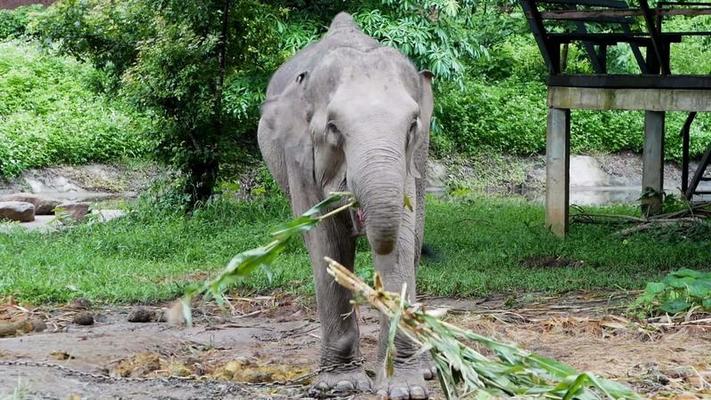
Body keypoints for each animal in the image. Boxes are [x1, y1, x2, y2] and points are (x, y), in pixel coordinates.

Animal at [258, 10, 434, 398]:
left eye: (412, 125)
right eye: (334, 128)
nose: (359, 216)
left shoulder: (411, 159)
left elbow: (402, 239)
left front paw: (404, 388)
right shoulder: (299, 158)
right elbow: (327, 240)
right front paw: (339, 384)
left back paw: (429, 368)